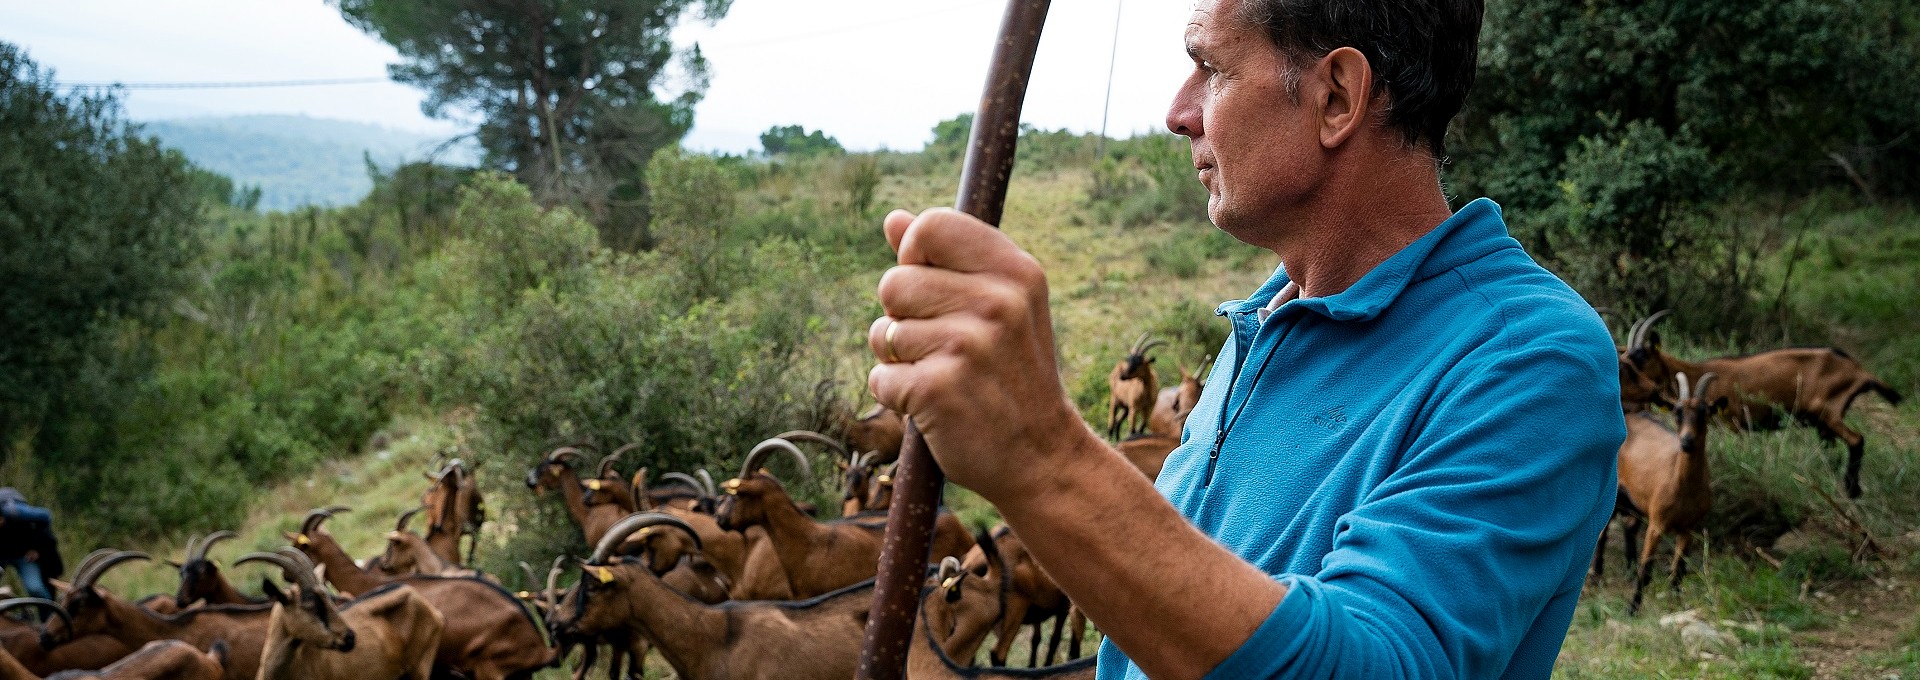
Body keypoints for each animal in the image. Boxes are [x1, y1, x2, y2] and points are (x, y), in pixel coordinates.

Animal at [1620, 311, 1904, 495]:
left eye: (1641, 356)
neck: (1695, 372)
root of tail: (1859, 370)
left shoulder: (1732, 424)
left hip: (1828, 412)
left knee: (1857, 440)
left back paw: (1852, 491)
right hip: (1823, 421)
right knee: (1832, 448)